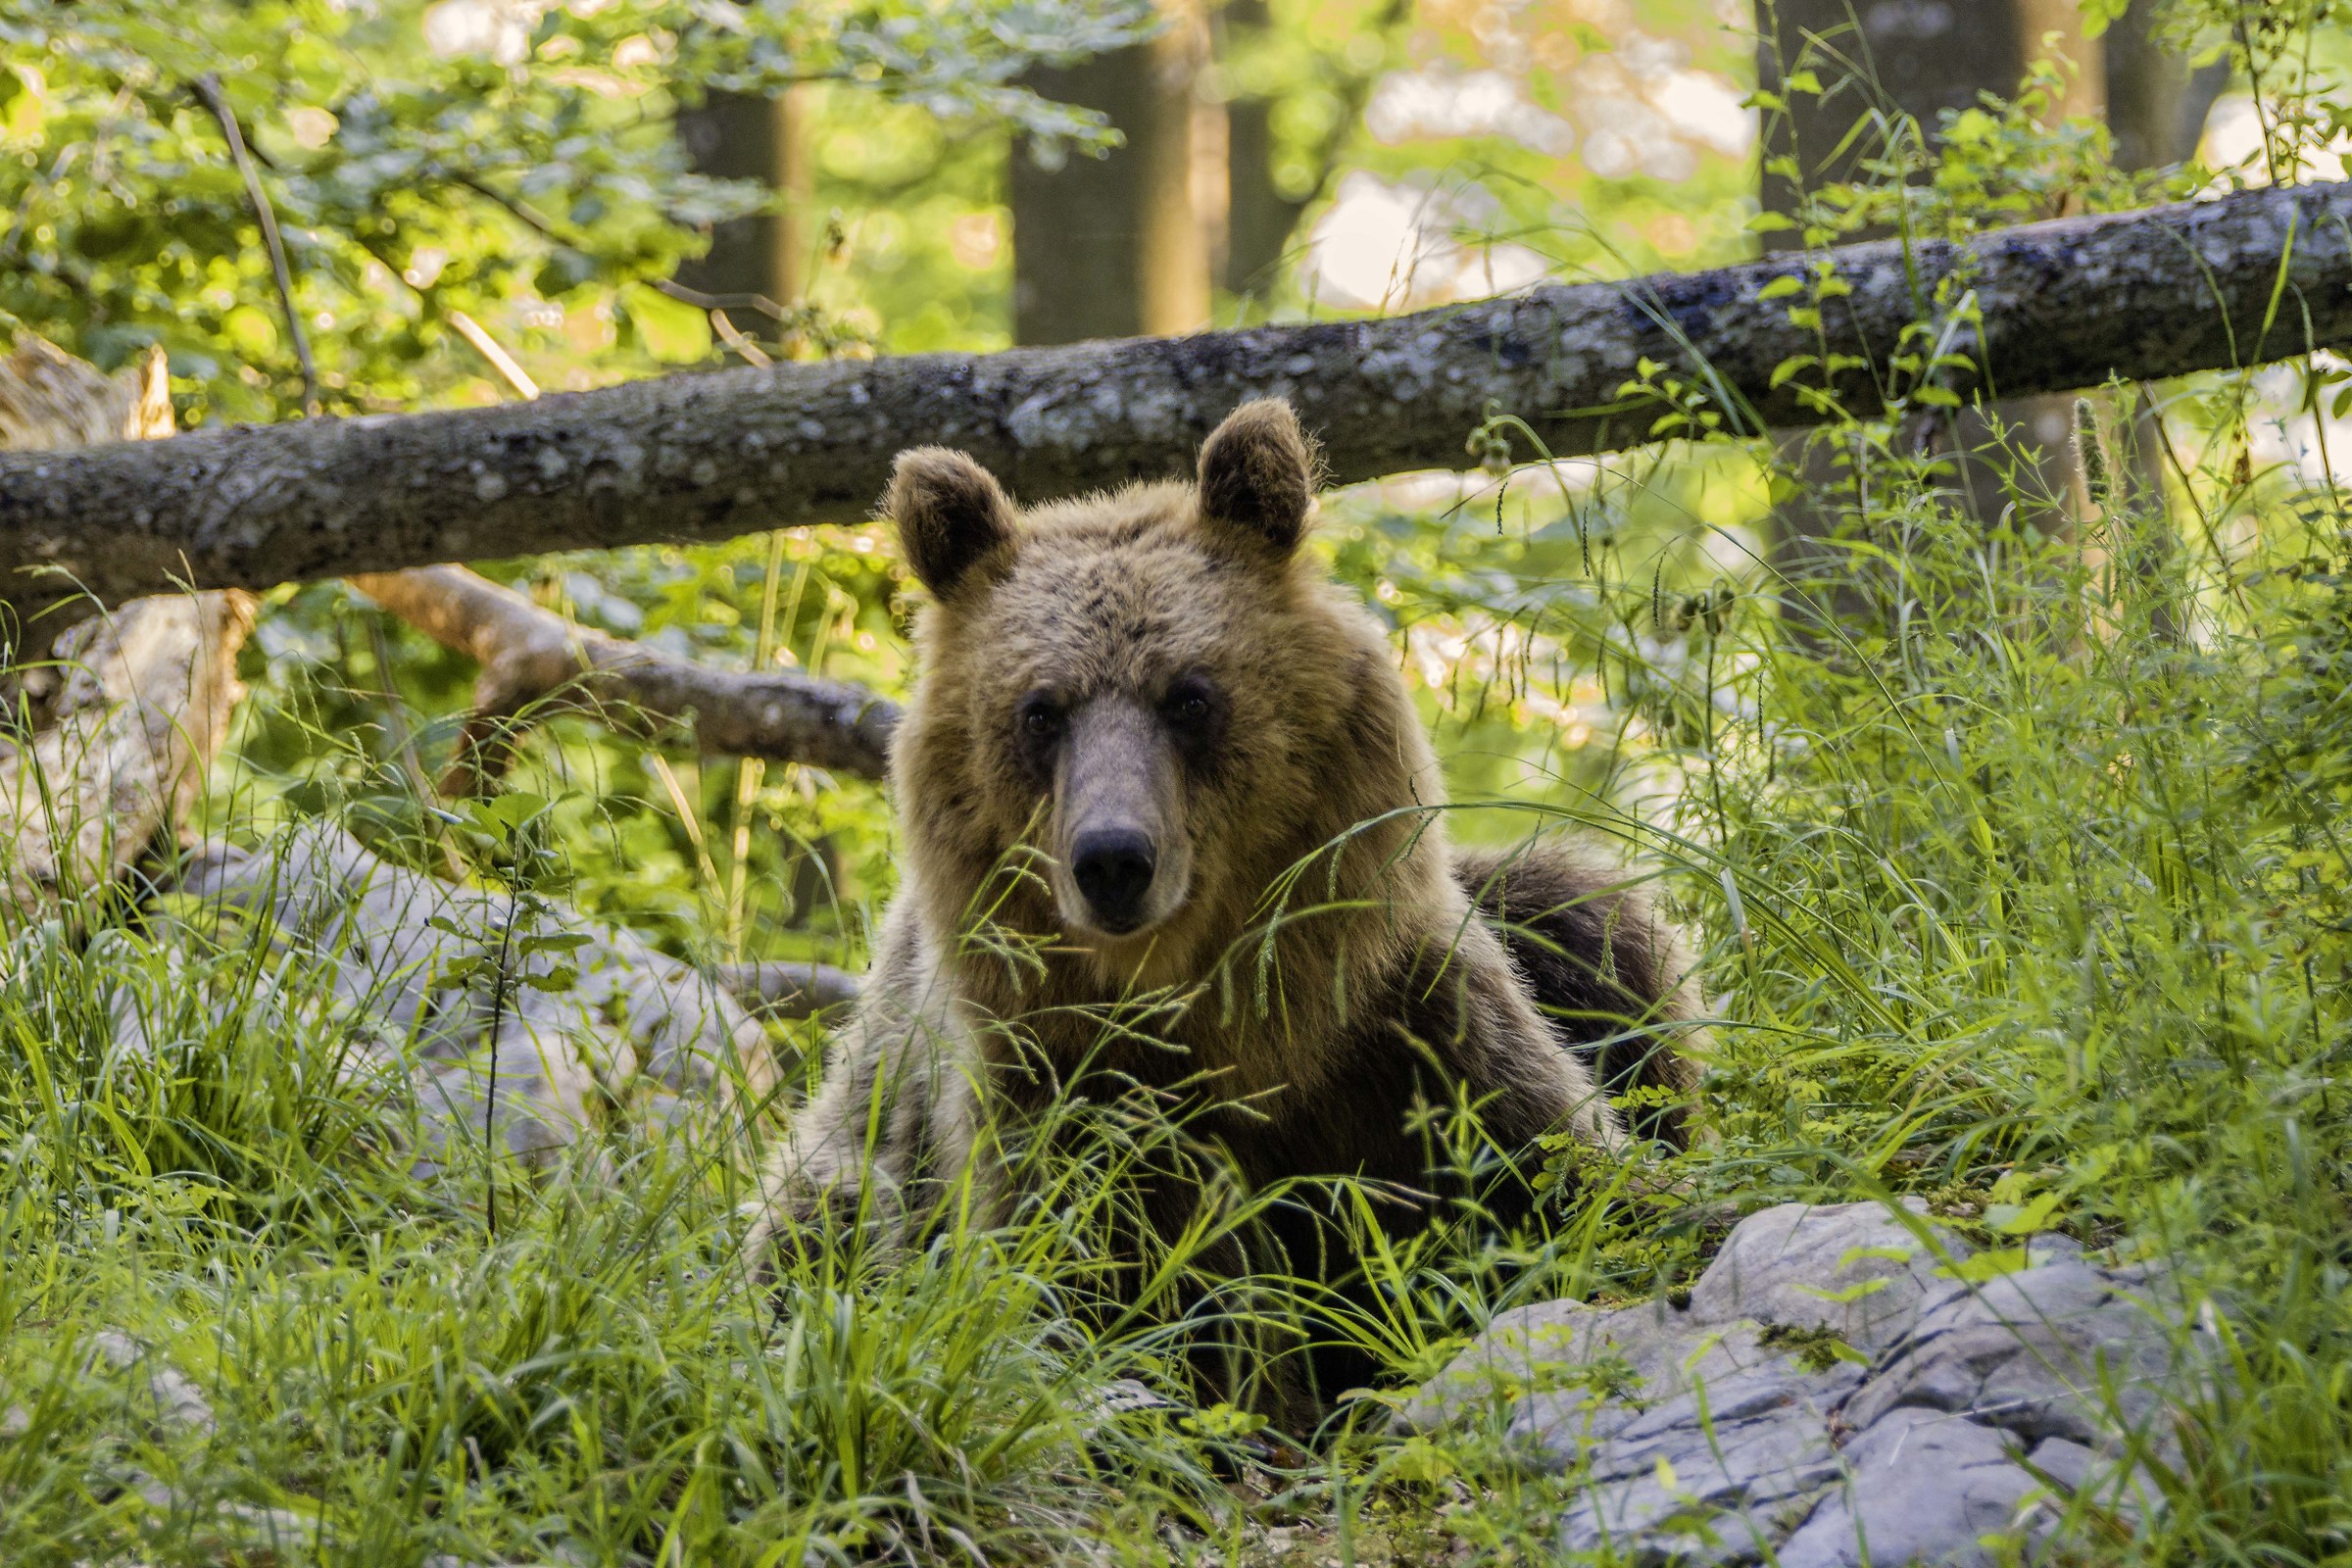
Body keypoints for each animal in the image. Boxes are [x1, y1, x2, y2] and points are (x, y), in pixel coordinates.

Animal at [749, 399, 1701, 1415]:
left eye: (1189, 696)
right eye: (1040, 710)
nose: (1113, 860)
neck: (1228, 1016)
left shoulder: (1397, 1024)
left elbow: (1556, 1168)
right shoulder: (1076, 1095)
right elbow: (1133, 1290)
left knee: (1601, 928)